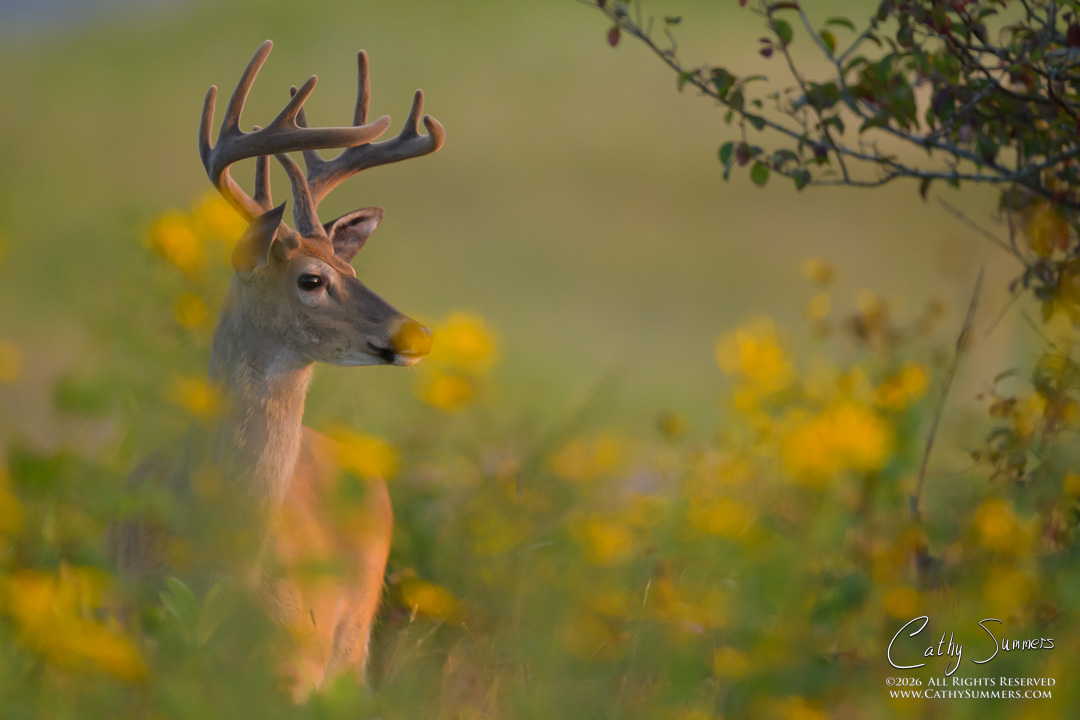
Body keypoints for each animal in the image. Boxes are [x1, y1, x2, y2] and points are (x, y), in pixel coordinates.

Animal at [107, 40, 444, 695]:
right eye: (312, 280)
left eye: (354, 270)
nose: (415, 333)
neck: (221, 568)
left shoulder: (296, 670)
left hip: (352, 641)